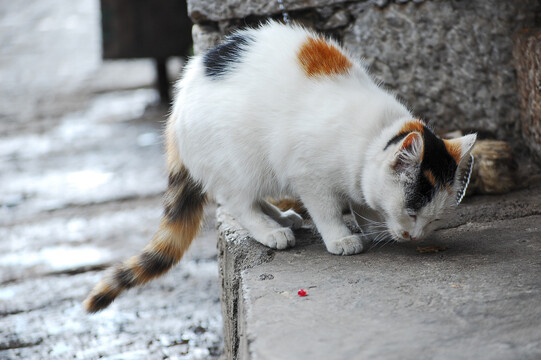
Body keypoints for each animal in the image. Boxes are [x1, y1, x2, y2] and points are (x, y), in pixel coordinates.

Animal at [82, 21, 474, 312]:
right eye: (412, 211)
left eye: (433, 219)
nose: (415, 236)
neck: (371, 137)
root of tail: (175, 112)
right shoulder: (308, 175)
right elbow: (326, 208)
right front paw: (341, 237)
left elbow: (362, 200)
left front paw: (369, 223)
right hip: (240, 161)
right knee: (235, 203)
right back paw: (271, 230)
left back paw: (282, 217)